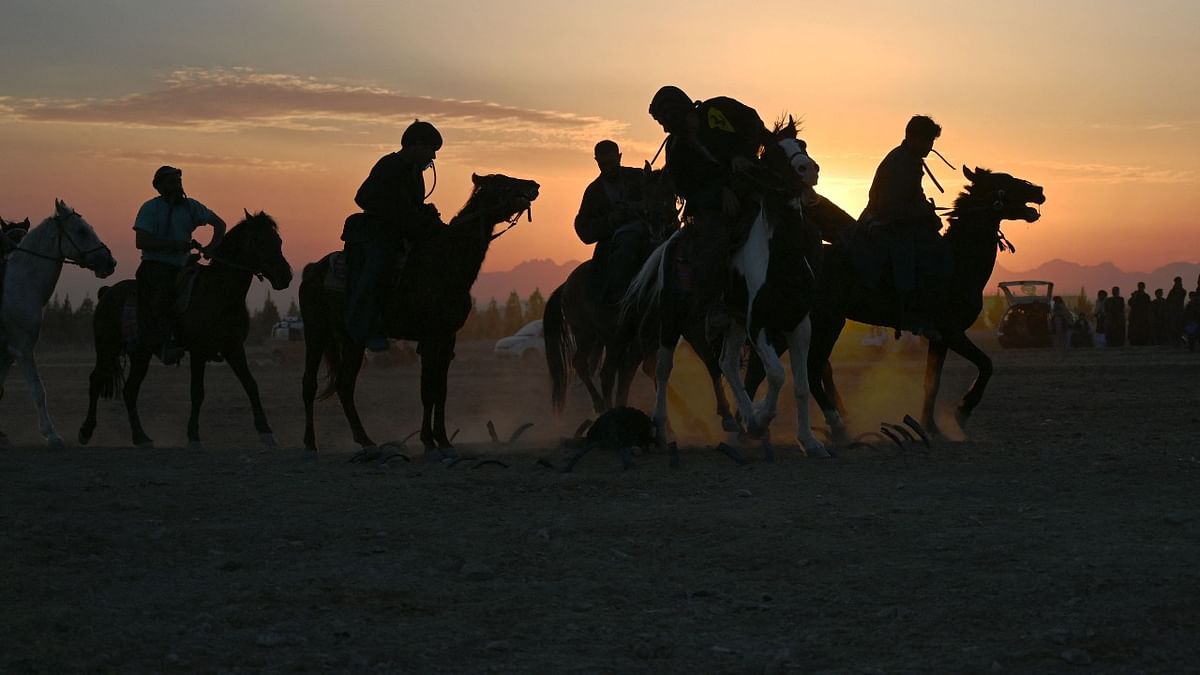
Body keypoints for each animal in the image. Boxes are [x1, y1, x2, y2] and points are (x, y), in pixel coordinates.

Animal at [0, 200, 115, 451]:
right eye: (81, 231)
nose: (110, 262)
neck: (19, 284)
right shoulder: (22, 349)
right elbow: (38, 390)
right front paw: (51, 435)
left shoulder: (8, 354)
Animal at [78, 208, 292, 446]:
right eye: (257, 240)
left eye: (278, 240)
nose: (286, 275)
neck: (220, 293)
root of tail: (107, 292)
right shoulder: (198, 351)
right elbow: (197, 392)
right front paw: (193, 435)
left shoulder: (233, 348)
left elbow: (251, 384)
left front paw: (266, 432)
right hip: (107, 347)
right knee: (96, 380)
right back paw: (86, 431)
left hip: (140, 354)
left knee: (129, 390)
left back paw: (141, 437)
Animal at [297, 171, 542, 451]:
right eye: (503, 182)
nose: (534, 185)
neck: (447, 263)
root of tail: (311, 270)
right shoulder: (429, 336)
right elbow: (427, 390)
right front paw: (427, 439)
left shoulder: (447, 336)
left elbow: (440, 390)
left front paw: (443, 439)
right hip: (316, 332)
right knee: (310, 383)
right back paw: (311, 442)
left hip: (351, 340)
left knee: (344, 385)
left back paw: (365, 439)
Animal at [801, 166, 1046, 441]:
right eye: (1005, 182)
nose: (1039, 190)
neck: (958, 262)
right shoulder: (951, 332)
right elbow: (986, 365)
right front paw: (962, 411)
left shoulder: (939, 338)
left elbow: (932, 381)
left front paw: (930, 426)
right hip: (828, 321)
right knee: (812, 369)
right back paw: (838, 425)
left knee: (822, 368)